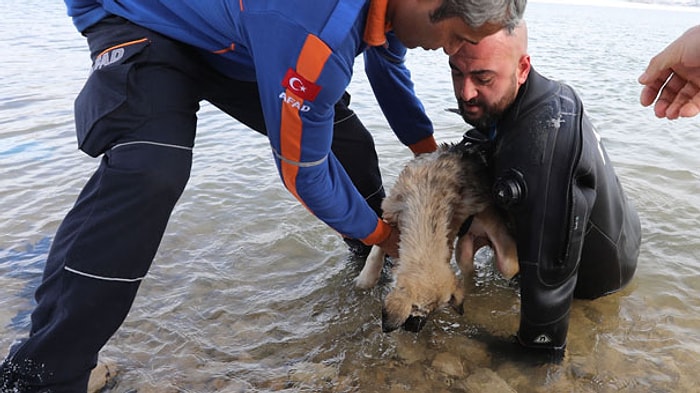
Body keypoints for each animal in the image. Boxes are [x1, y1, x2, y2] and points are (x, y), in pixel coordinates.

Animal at [356, 142, 520, 332]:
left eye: (434, 310)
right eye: (415, 308)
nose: (415, 329)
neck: (428, 207)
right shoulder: (390, 215)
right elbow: (377, 248)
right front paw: (366, 278)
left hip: (506, 260)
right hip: (463, 251)